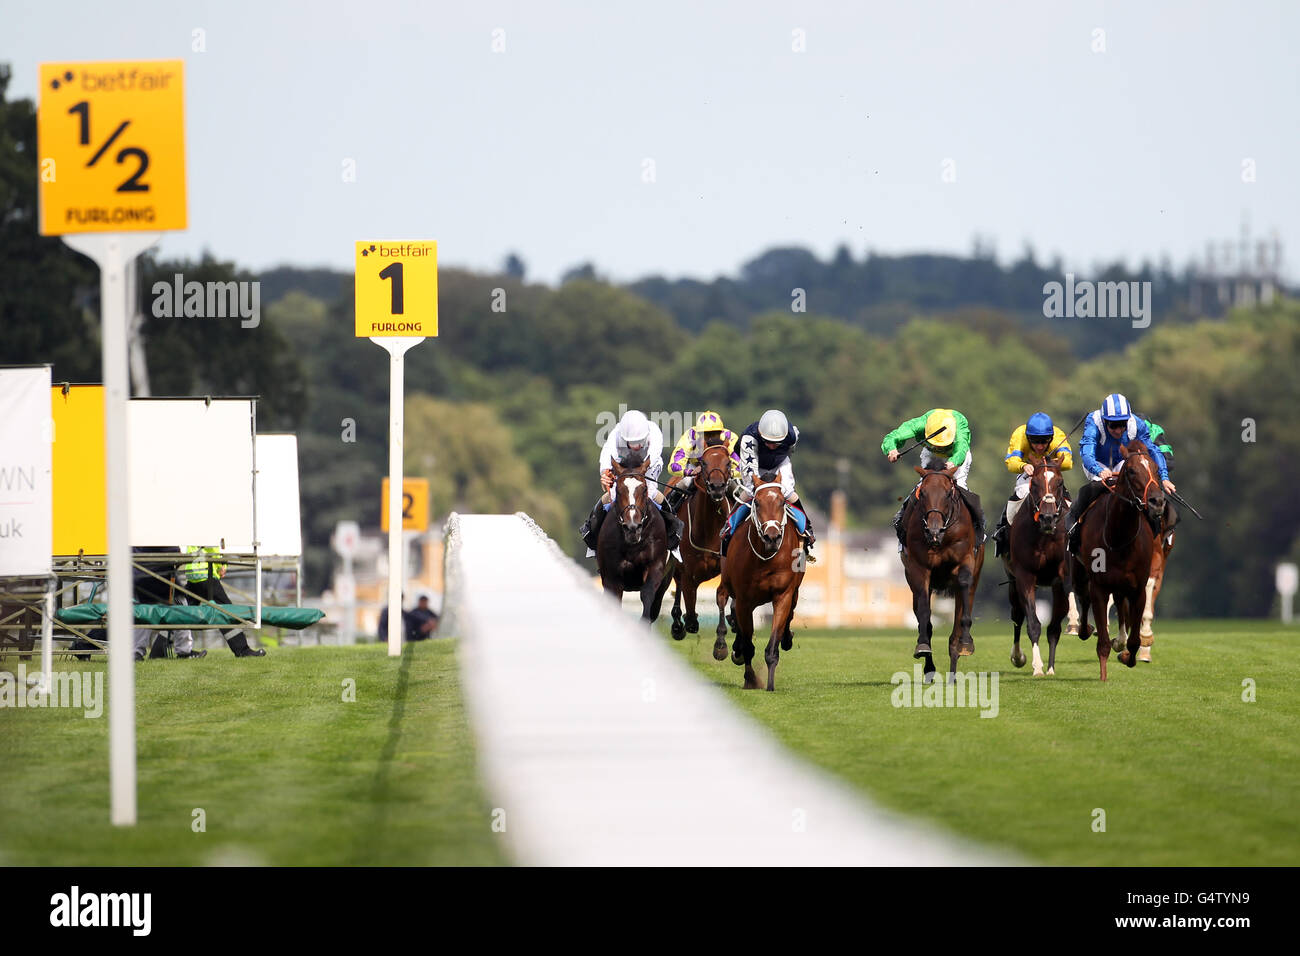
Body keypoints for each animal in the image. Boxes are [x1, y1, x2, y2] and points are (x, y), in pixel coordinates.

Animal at [595, 460, 670, 624]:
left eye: (644, 489)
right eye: (618, 490)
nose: (632, 527)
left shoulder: (655, 566)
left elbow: (647, 594)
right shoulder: (611, 576)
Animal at [712, 476, 800, 691]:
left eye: (782, 502)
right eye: (757, 503)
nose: (772, 537)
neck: (766, 559)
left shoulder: (783, 595)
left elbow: (773, 643)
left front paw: (770, 684)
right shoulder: (745, 600)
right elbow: (748, 644)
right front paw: (750, 678)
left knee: (791, 612)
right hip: (727, 580)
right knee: (722, 597)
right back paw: (723, 645)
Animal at [904, 465, 982, 686]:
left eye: (948, 494)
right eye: (922, 494)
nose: (934, 531)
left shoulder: (965, 560)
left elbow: (963, 602)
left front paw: (966, 643)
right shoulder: (919, 568)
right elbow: (924, 613)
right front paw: (922, 646)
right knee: (925, 618)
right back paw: (930, 669)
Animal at [1003, 465, 1066, 681]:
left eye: (1060, 483)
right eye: (1035, 484)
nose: (1048, 518)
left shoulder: (1062, 579)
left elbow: (1054, 627)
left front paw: (1051, 668)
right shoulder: (1024, 576)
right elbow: (1032, 623)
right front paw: (1037, 667)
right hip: (1013, 581)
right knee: (1017, 614)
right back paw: (1017, 656)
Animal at [1066, 442, 1170, 681]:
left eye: (1155, 467)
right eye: (1131, 471)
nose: (1157, 502)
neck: (1119, 537)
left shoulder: (1139, 587)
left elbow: (1134, 639)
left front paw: (1127, 655)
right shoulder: (1099, 586)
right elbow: (1103, 640)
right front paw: (1103, 675)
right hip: (1079, 574)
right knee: (1083, 599)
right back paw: (1084, 628)